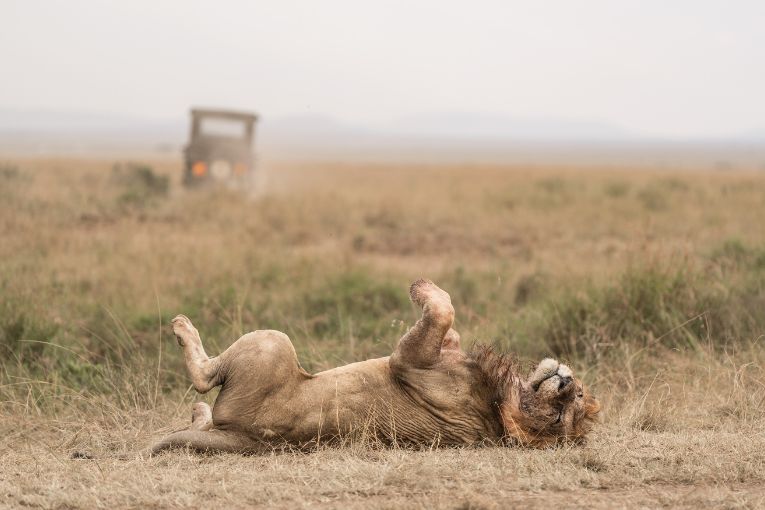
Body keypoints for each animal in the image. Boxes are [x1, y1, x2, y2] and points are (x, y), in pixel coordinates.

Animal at [146, 278, 600, 454]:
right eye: (577, 395)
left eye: (560, 417)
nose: (565, 383)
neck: (503, 398)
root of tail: (246, 439)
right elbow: (448, 324)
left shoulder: (408, 362)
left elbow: (443, 309)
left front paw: (423, 288)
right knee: (203, 418)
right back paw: (196, 413)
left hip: (272, 343)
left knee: (204, 379)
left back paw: (182, 328)